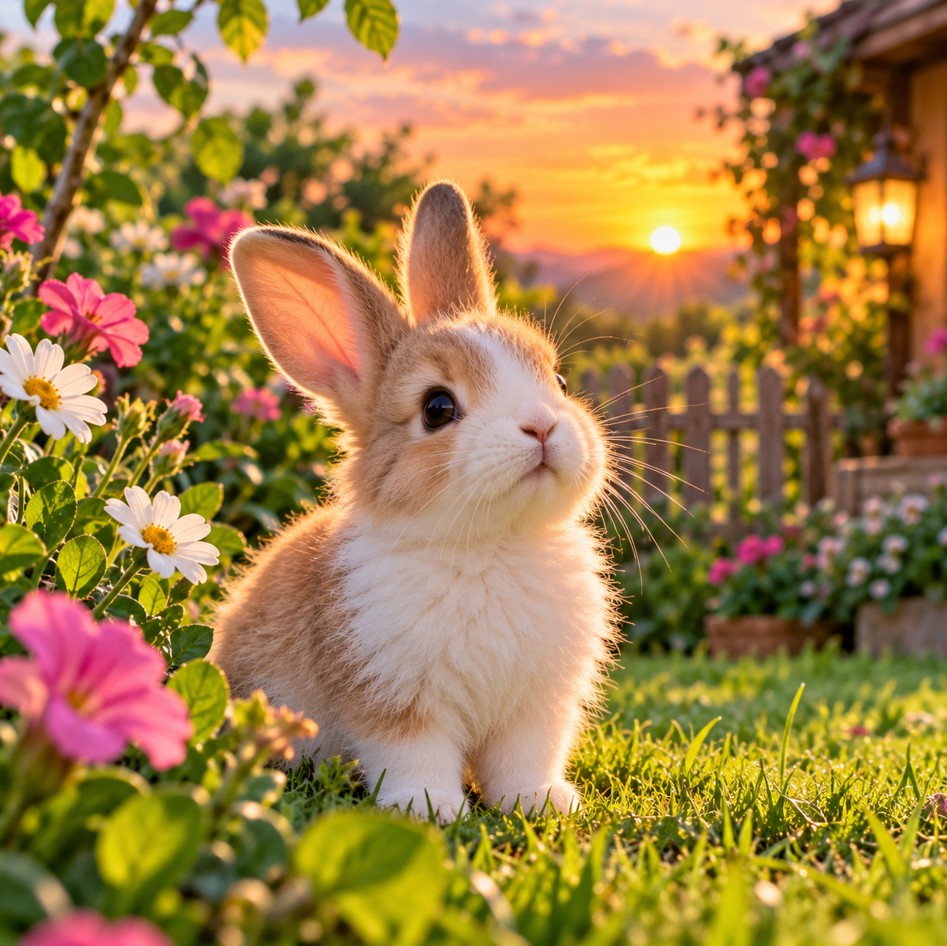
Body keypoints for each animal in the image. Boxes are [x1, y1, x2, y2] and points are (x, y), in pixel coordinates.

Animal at [211, 180, 621, 822]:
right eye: (437, 408)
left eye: (557, 382)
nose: (543, 427)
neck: (490, 546)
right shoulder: (396, 701)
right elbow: (414, 755)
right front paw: (429, 809)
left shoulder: (535, 709)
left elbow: (524, 759)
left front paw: (541, 804)